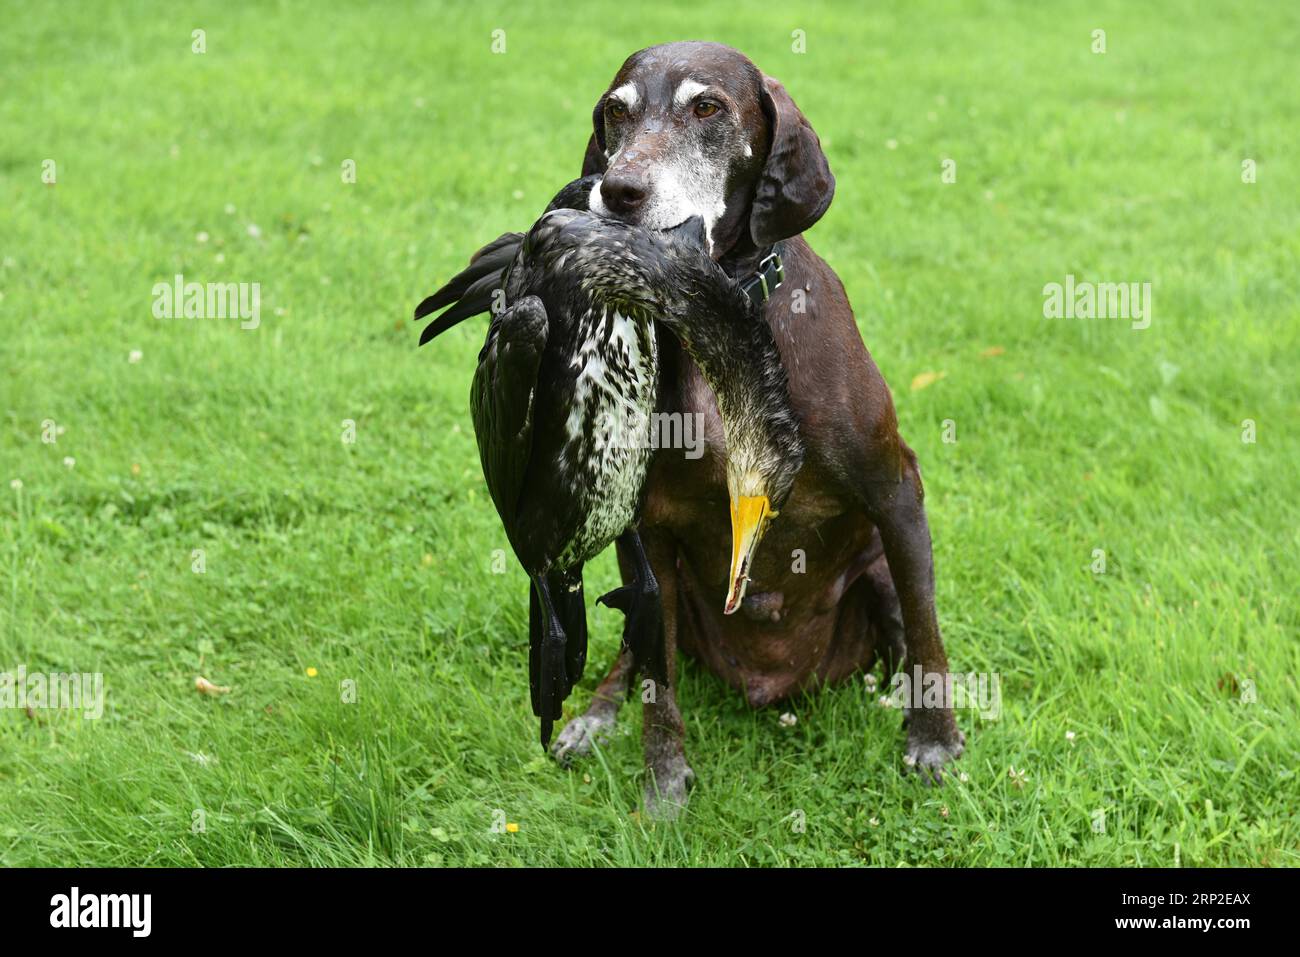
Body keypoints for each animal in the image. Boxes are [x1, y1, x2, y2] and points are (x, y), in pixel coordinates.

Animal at [548, 39, 967, 816]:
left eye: (707, 107)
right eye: (615, 112)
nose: (618, 191)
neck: (720, 318)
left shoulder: (897, 492)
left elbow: (928, 634)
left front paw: (934, 739)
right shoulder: (650, 534)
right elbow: (657, 690)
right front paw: (662, 781)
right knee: (634, 656)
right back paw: (595, 714)